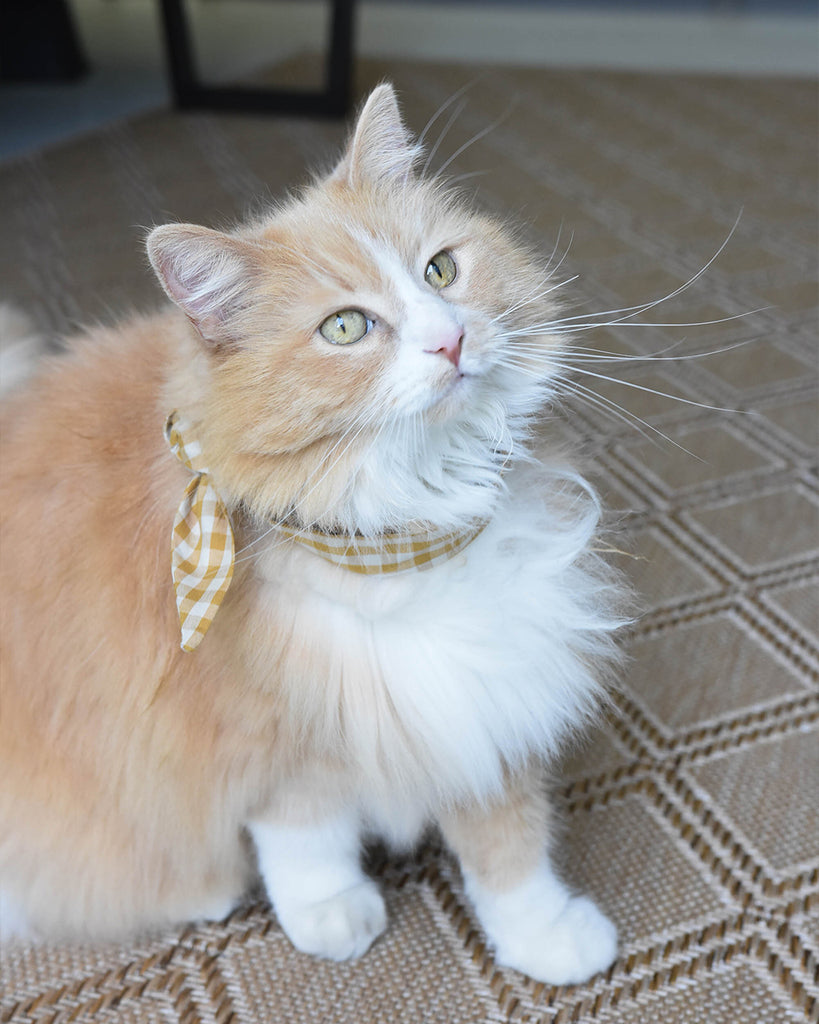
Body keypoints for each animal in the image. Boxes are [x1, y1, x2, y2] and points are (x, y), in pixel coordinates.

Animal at [0, 81, 622, 983]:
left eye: (440, 270)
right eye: (345, 328)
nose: (451, 338)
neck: (402, 539)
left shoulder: (487, 698)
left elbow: (509, 846)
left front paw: (542, 934)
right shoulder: (265, 741)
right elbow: (304, 836)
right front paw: (330, 913)